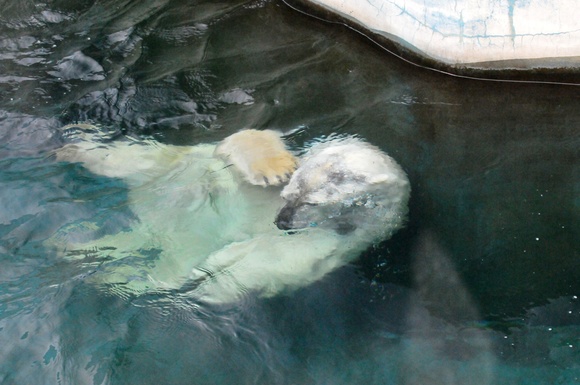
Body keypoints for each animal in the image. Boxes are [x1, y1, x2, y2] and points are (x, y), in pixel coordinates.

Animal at [51, 126, 412, 304]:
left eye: (311, 203)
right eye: (290, 192)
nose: (281, 221)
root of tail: (154, 226)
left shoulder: (335, 241)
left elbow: (267, 263)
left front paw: (211, 279)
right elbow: (239, 143)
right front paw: (275, 167)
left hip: (176, 240)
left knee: (167, 266)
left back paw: (98, 266)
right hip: (168, 171)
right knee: (129, 157)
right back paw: (75, 145)